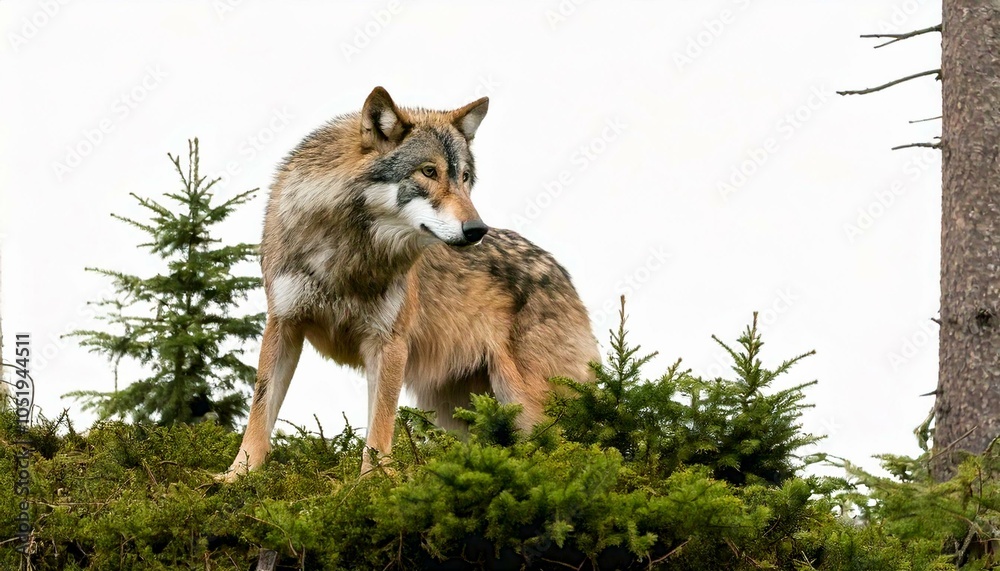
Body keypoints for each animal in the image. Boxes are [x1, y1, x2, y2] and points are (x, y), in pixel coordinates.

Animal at [222, 87, 599, 479]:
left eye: (465, 177)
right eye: (429, 171)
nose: (477, 230)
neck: (349, 252)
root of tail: (562, 272)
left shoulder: (389, 344)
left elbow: (380, 424)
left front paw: (374, 483)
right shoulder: (283, 325)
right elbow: (260, 409)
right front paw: (238, 476)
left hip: (526, 404)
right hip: (455, 412)